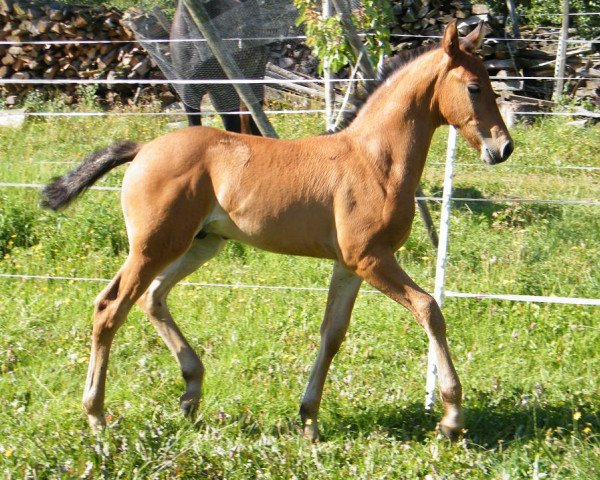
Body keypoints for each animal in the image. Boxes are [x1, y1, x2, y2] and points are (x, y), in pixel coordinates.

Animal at [41, 20, 510, 440]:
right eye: (474, 87)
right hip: (153, 246)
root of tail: (142, 149)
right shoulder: (370, 258)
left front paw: (309, 420)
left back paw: (191, 392)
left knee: (153, 297)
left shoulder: (349, 264)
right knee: (110, 307)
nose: (503, 148)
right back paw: (97, 417)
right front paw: (451, 417)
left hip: (199, 245)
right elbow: (429, 308)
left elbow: (332, 334)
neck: (374, 159)